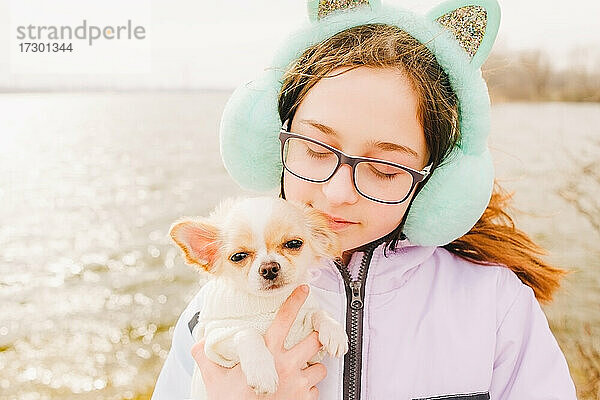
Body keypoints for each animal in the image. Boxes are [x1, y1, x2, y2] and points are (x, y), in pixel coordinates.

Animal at [169, 196, 346, 396]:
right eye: (238, 256)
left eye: (294, 244)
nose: (269, 268)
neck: (267, 305)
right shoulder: (216, 342)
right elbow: (246, 333)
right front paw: (262, 372)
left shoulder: (309, 351)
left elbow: (317, 313)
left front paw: (334, 331)